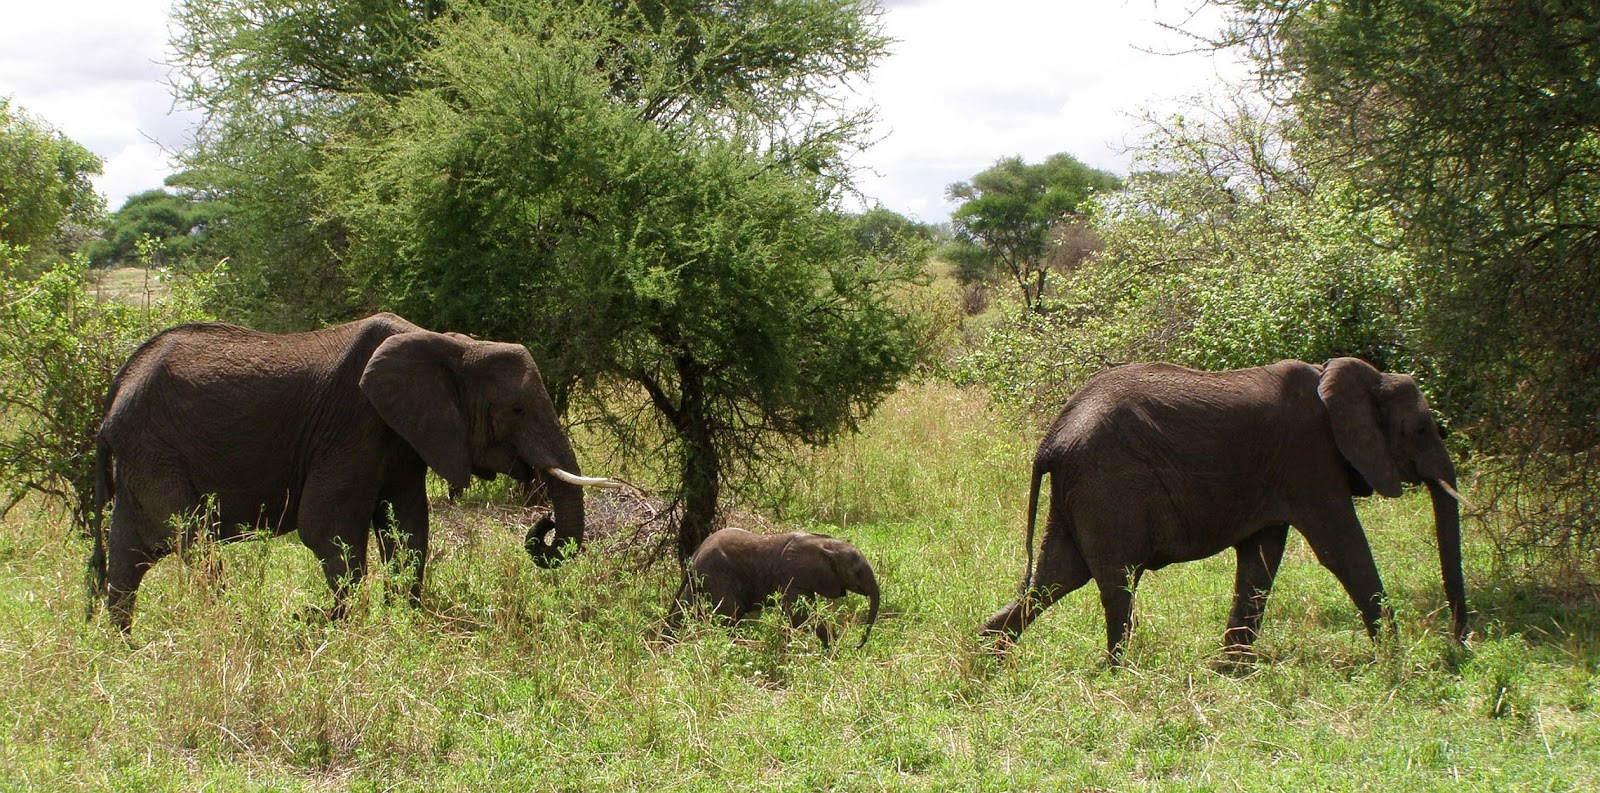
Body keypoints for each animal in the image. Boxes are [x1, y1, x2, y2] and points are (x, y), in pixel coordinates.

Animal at [87, 312, 619, 632]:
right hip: (156, 451)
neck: (448, 344)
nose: (542, 525)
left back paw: (124, 650)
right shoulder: (353, 425)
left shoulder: (402, 435)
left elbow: (409, 528)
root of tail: (116, 390)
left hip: (143, 456)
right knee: (193, 542)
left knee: (128, 555)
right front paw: (330, 626)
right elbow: (326, 527)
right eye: (516, 409)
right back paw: (230, 626)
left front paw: (405, 624)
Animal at [666, 528, 881, 648]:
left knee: (685, 609)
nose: (856, 645)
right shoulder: (792, 575)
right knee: (730, 614)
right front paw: (833, 650)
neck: (827, 544)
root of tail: (695, 555)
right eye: (857, 572)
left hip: (701, 579)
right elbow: (799, 616)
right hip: (716, 574)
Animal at [980, 357, 1469, 662]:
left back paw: (987, 656)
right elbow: (1343, 550)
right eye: (1422, 429)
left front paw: (1231, 670)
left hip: (1080, 490)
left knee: (1056, 578)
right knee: (1114, 585)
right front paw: (1395, 661)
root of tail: (1051, 439)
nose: (1461, 645)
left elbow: (1260, 561)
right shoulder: (1310, 460)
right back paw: (1117, 672)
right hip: (1106, 485)